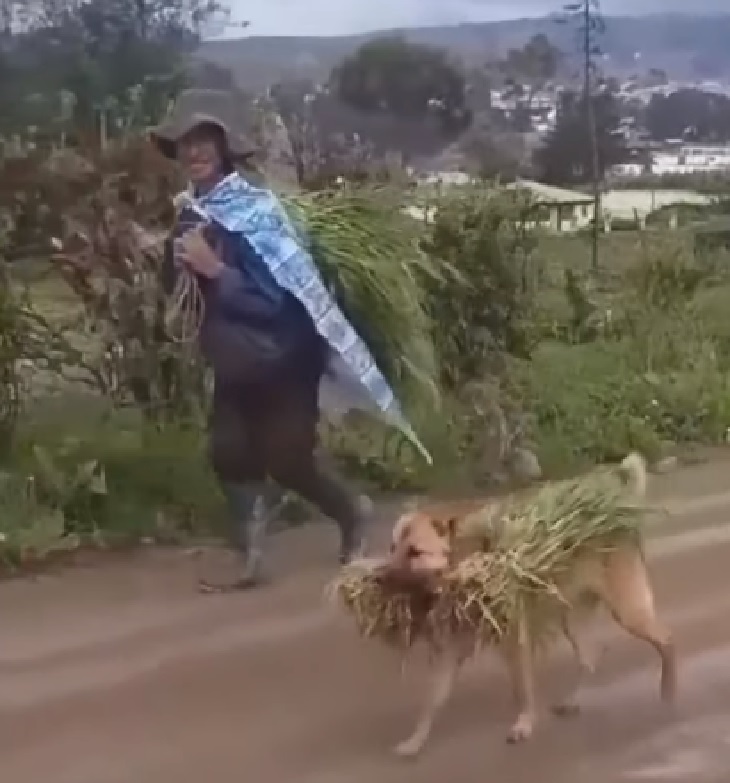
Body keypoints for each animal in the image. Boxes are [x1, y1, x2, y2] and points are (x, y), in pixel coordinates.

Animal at [378, 454, 672, 760]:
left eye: (415, 552)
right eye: (392, 548)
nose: (377, 578)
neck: (466, 561)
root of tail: (618, 511)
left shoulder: (514, 643)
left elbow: (522, 689)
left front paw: (524, 724)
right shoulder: (449, 652)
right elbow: (431, 703)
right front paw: (415, 741)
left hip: (628, 612)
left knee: (666, 640)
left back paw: (668, 691)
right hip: (573, 620)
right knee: (591, 656)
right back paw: (572, 700)